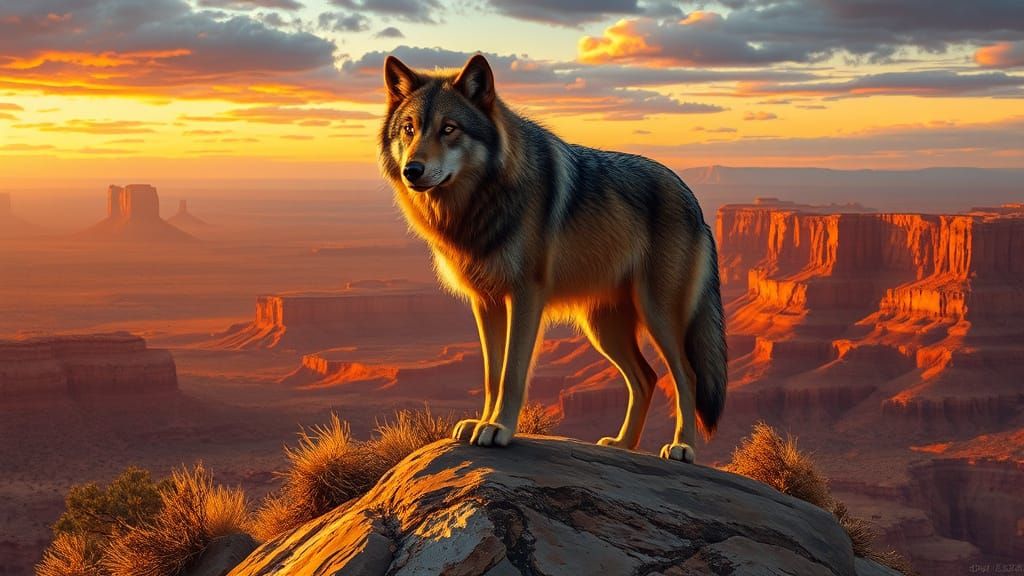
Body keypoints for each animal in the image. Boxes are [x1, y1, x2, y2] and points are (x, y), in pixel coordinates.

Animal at [378, 54, 726, 463]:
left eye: (449, 129)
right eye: (408, 129)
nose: (412, 170)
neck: (480, 203)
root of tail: (695, 204)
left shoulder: (526, 297)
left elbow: (512, 373)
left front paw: (499, 428)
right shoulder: (486, 302)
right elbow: (492, 375)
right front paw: (481, 422)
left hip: (658, 315)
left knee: (686, 376)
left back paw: (682, 447)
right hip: (602, 327)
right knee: (646, 378)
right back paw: (622, 444)